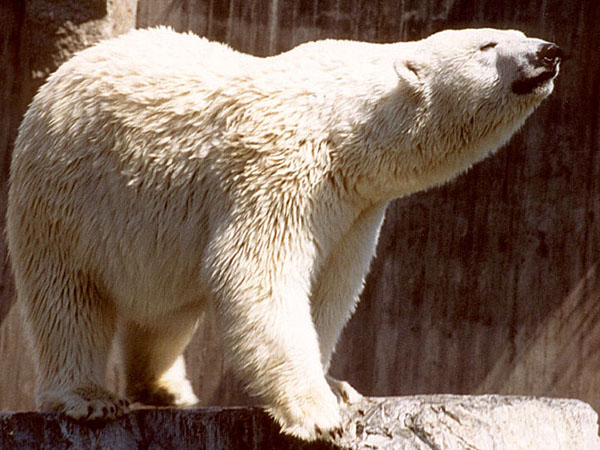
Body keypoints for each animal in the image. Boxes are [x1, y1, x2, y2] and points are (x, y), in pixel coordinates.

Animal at [7, 27, 560, 440]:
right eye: (488, 44)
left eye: (518, 33)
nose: (548, 52)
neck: (349, 122)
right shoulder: (281, 168)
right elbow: (256, 273)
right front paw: (319, 414)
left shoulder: (355, 209)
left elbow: (330, 289)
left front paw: (336, 385)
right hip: (64, 200)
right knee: (67, 300)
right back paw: (89, 397)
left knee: (166, 313)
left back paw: (167, 388)